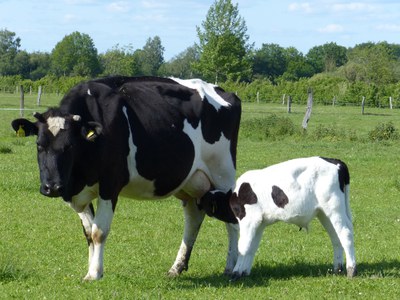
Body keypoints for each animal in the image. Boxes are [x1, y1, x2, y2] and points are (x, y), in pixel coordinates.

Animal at [11, 76, 241, 280]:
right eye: (39, 145)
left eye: (70, 146)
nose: (52, 187)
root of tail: (223, 91)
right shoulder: (75, 191)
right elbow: (88, 233)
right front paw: (91, 268)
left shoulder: (110, 185)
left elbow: (99, 232)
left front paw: (94, 274)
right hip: (190, 182)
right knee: (193, 218)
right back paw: (176, 268)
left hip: (223, 175)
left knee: (232, 219)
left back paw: (232, 268)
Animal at [230, 157, 358, 278]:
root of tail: (336, 161)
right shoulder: (260, 223)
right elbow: (252, 246)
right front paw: (245, 272)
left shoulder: (249, 219)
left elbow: (243, 246)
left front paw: (236, 273)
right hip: (325, 214)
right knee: (336, 237)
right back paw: (338, 269)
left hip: (334, 209)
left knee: (345, 233)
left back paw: (351, 270)